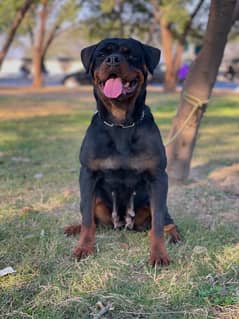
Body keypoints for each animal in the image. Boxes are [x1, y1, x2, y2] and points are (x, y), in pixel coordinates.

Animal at [64, 38, 180, 268]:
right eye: (101, 54)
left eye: (131, 54)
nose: (113, 60)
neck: (120, 124)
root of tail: (122, 224)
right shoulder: (88, 174)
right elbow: (87, 219)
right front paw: (84, 248)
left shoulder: (158, 177)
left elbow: (157, 224)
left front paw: (159, 254)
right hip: (97, 201)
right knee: (91, 218)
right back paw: (74, 228)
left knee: (166, 221)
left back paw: (174, 235)